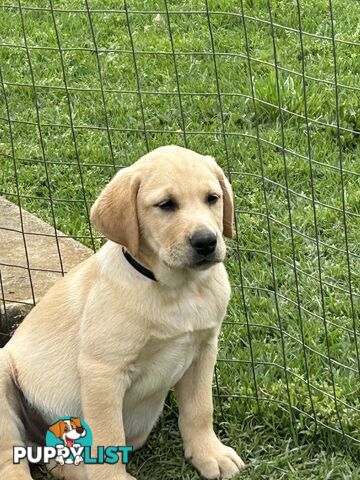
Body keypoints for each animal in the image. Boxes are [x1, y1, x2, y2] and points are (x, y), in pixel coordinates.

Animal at [0, 146, 245, 480]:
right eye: (166, 205)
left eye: (212, 198)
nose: (206, 241)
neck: (177, 289)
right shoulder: (103, 371)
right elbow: (108, 434)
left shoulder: (203, 350)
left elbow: (199, 409)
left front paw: (210, 453)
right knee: (10, 457)